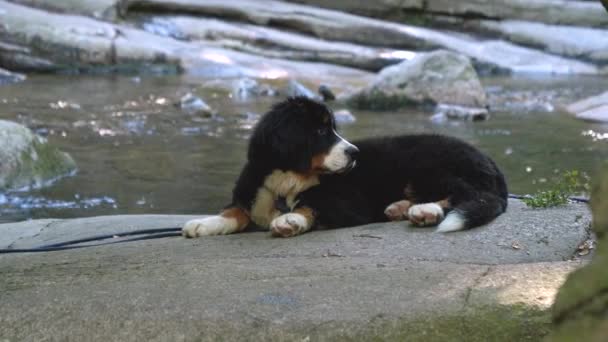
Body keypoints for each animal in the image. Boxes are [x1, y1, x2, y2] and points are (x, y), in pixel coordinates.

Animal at [184, 96, 508, 238]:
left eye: (333, 129)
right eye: (320, 131)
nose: (354, 153)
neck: (289, 180)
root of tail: (490, 161)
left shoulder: (347, 203)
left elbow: (313, 204)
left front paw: (291, 220)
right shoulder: (254, 190)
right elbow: (236, 211)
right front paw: (205, 223)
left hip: (431, 167)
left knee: (466, 194)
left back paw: (423, 211)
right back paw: (401, 208)